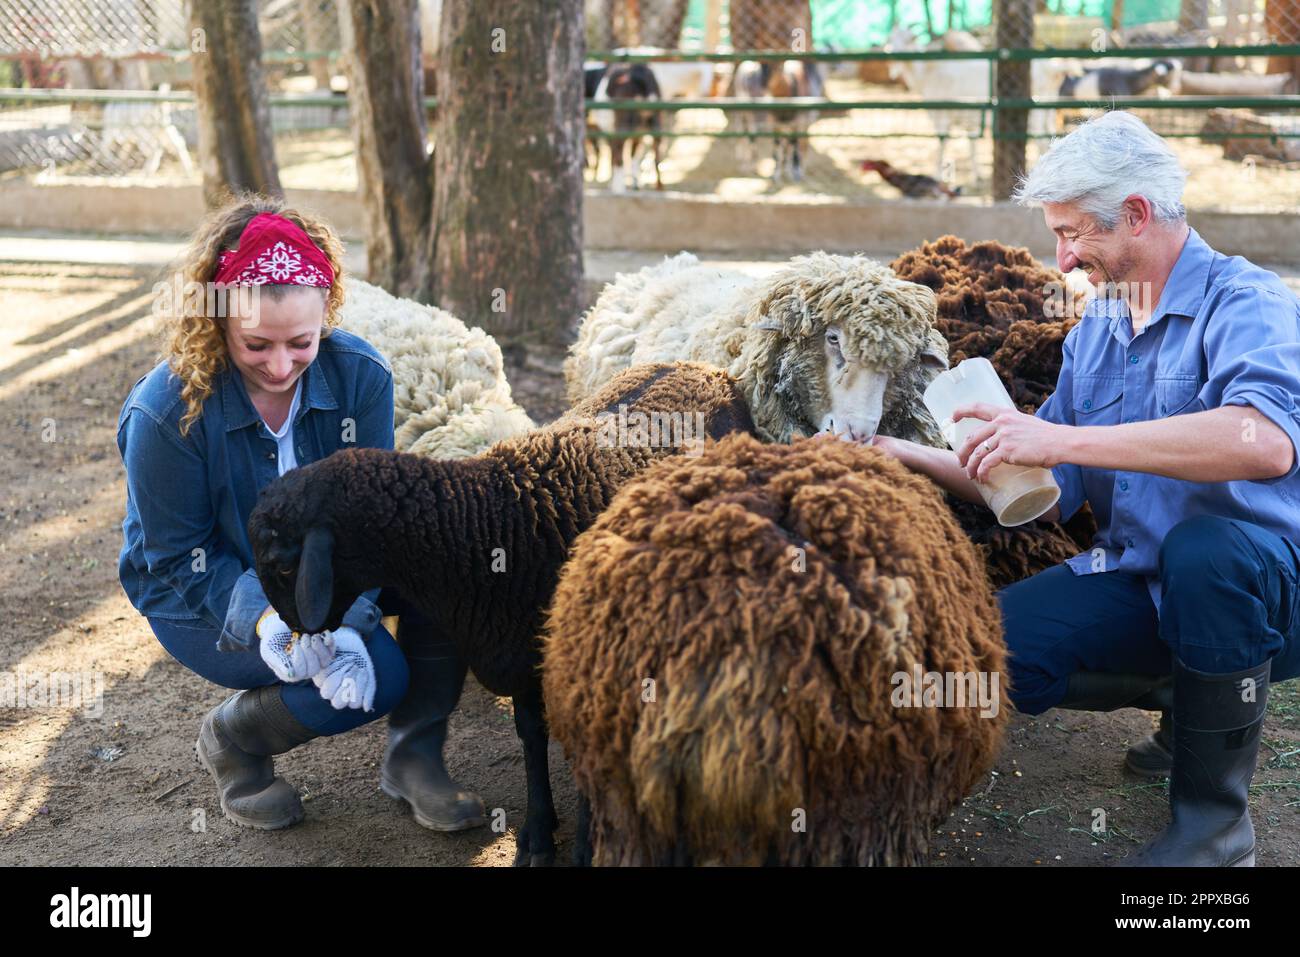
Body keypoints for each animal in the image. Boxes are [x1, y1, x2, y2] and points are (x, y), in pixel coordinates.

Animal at [245, 361, 754, 868]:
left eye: (285, 564)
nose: (294, 632)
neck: (491, 523)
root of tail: (701, 368)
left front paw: (587, 845)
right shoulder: (520, 654)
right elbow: (531, 736)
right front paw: (537, 834)